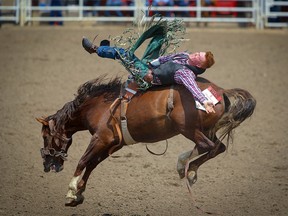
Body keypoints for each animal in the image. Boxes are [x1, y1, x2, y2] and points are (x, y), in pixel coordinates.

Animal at [36, 75, 256, 207]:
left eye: (45, 136)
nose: (47, 165)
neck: (97, 106)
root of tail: (222, 91)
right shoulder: (111, 144)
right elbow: (91, 165)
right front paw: (80, 193)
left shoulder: (100, 138)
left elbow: (83, 161)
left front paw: (71, 192)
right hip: (206, 130)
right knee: (218, 147)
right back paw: (187, 167)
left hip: (188, 129)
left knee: (207, 146)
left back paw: (185, 166)